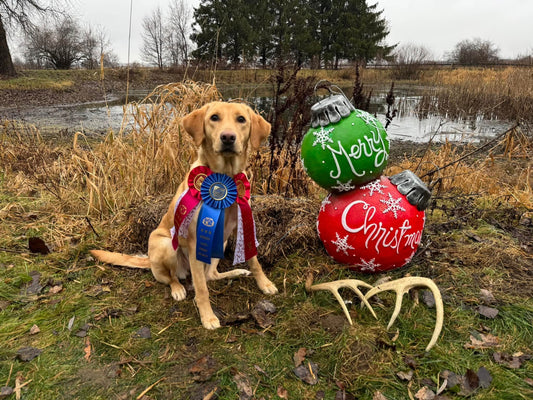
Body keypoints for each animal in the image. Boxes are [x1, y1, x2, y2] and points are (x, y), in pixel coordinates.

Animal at [90, 102, 278, 328]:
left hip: (221, 243)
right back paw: (178, 289)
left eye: (241, 119)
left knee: (210, 275)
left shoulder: (242, 226)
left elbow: (254, 261)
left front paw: (264, 283)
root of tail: (149, 260)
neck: (224, 179)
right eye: (214, 117)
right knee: (174, 278)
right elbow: (202, 290)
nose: (227, 137)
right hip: (167, 246)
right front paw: (208, 317)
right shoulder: (198, 241)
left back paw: (236, 272)